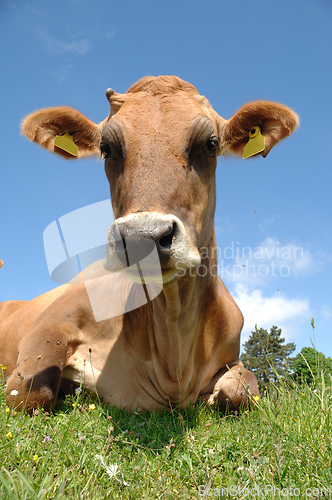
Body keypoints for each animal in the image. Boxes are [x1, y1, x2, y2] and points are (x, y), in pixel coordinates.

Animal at [0, 75, 298, 410]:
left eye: (210, 144)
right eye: (106, 148)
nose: (143, 237)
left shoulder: (232, 357)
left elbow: (243, 390)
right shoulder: (50, 324)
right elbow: (28, 390)